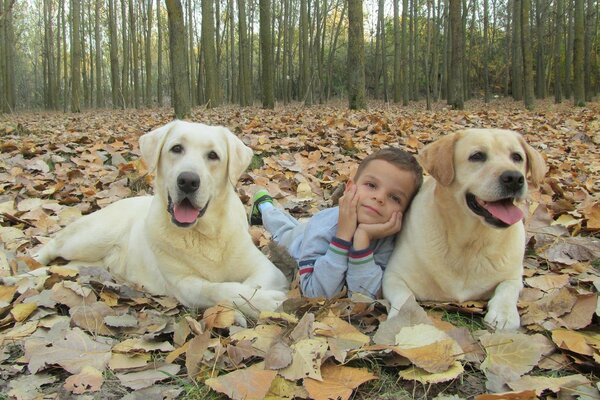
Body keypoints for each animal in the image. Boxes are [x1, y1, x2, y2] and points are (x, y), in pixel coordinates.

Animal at [34, 120, 290, 314]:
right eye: (176, 149)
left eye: (213, 155)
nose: (188, 181)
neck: (203, 234)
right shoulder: (183, 285)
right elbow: (218, 289)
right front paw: (265, 302)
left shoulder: (267, 268)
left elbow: (250, 282)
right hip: (92, 237)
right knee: (53, 245)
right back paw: (30, 265)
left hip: (90, 262)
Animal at [382, 130, 548, 330]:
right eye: (477, 156)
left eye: (517, 157)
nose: (514, 178)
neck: (471, 242)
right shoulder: (393, 275)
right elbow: (405, 296)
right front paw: (407, 317)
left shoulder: (514, 275)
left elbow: (508, 287)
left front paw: (504, 314)